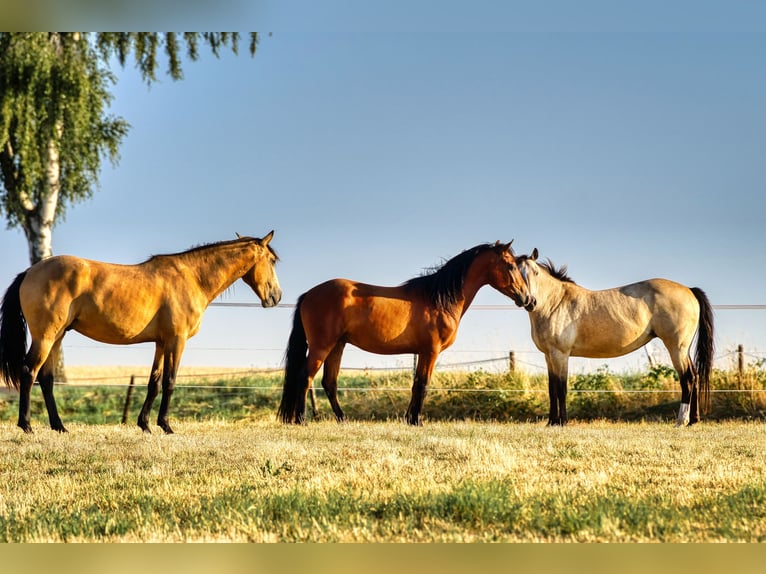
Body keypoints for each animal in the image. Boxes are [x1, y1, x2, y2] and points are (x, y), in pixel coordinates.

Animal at [0, 232, 282, 434]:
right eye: (272, 261)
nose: (276, 297)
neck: (192, 277)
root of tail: (30, 272)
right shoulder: (176, 341)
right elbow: (170, 382)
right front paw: (166, 425)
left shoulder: (161, 343)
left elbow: (154, 382)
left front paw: (145, 424)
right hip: (46, 337)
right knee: (29, 372)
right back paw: (27, 426)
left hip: (57, 337)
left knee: (46, 379)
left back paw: (59, 426)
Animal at [280, 241, 536, 426]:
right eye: (511, 266)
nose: (528, 299)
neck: (438, 300)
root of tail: (308, 294)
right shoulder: (430, 351)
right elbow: (422, 384)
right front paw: (416, 421)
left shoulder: (423, 352)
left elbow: (416, 384)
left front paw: (409, 419)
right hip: (322, 346)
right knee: (305, 377)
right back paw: (301, 420)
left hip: (337, 346)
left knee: (329, 383)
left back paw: (342, 420)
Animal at [520, 251, 716, 428]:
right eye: (517, 272)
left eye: (535, 273)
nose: (528, 300)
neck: (556, 302)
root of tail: (690, 290)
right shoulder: (549, 356)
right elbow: (552, 389)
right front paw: (551, 422)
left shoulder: (560, 355)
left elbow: (561, 389)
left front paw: (561, 423)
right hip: (683, 349)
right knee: (695, 376)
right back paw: (693, 420)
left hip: (677, 348)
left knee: (688, 378)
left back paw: (681, 421)